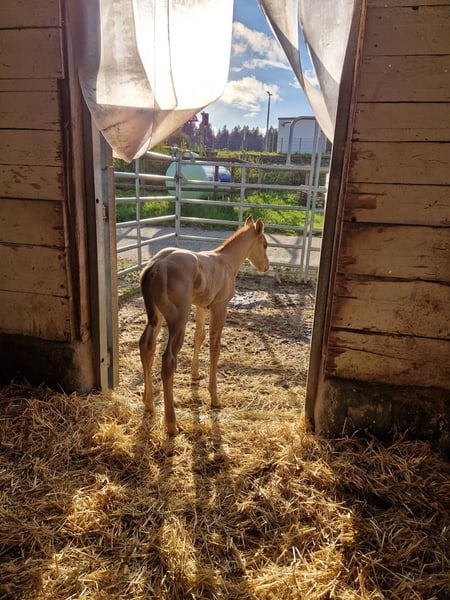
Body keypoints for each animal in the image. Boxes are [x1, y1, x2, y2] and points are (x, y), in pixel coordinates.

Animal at [139, 215, 270, 435]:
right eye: (265, 244)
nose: (266, 267)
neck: (226, 262)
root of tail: (155, 265)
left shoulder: (201, 307)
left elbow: (199, 336)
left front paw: (195, 374)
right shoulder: (220, 307)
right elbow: (214, 347)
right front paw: (215, 397)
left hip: (157, 316)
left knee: (146, 346)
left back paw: (149, 405)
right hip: (178, 318)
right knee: (168, 360)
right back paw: (171, 424)